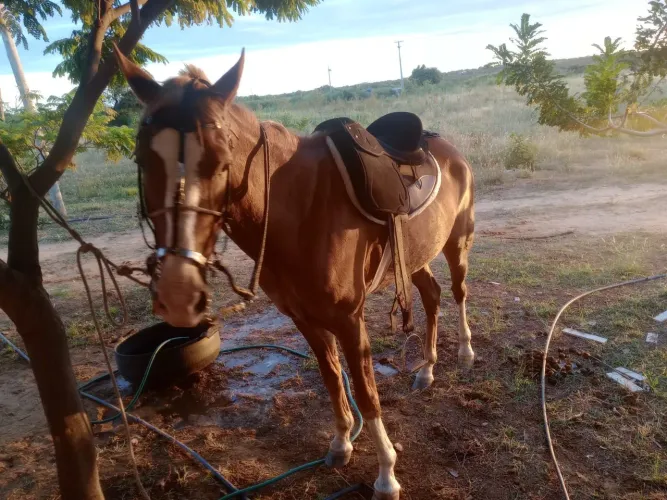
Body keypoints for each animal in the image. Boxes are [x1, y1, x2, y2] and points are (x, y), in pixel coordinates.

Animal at [113, 47, 475, 500]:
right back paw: (426, 368)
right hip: (415, 258)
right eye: (143, 159)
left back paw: (465, 352)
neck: (302, 209)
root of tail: (442, 143)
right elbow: (332, 378)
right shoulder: (305, 319)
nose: (178, 293)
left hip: (457, 242)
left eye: (222, 161)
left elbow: (366, 394)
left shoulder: (349, 321)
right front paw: (341, 444)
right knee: (431, 296)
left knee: (459, 291)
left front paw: (386, 474)